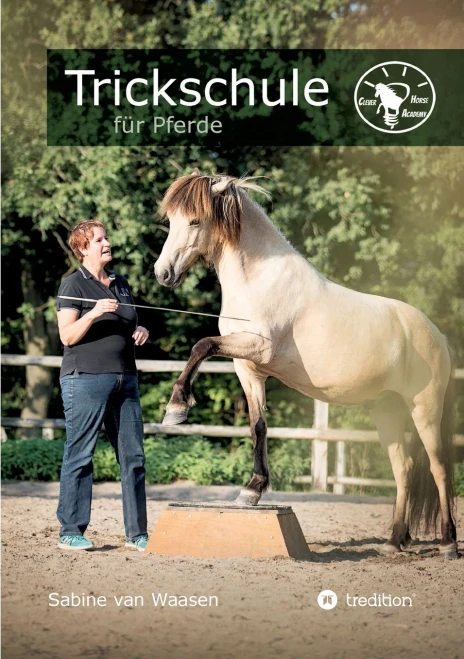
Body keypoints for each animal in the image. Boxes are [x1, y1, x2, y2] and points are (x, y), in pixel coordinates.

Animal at [154, 170, 457, 560]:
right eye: (171, 220)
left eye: (194, 220)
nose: (163, 273)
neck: (260, 279)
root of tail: (437, 335)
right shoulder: (248, 368)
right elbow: (258, 426)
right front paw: (252, 490)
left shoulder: (257, 347)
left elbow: (201, 345)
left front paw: (177, 407)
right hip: (386, 410)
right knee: (402, 469)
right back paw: (393, 542)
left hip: (425, 408)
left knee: (439, 468)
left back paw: (448, 543)